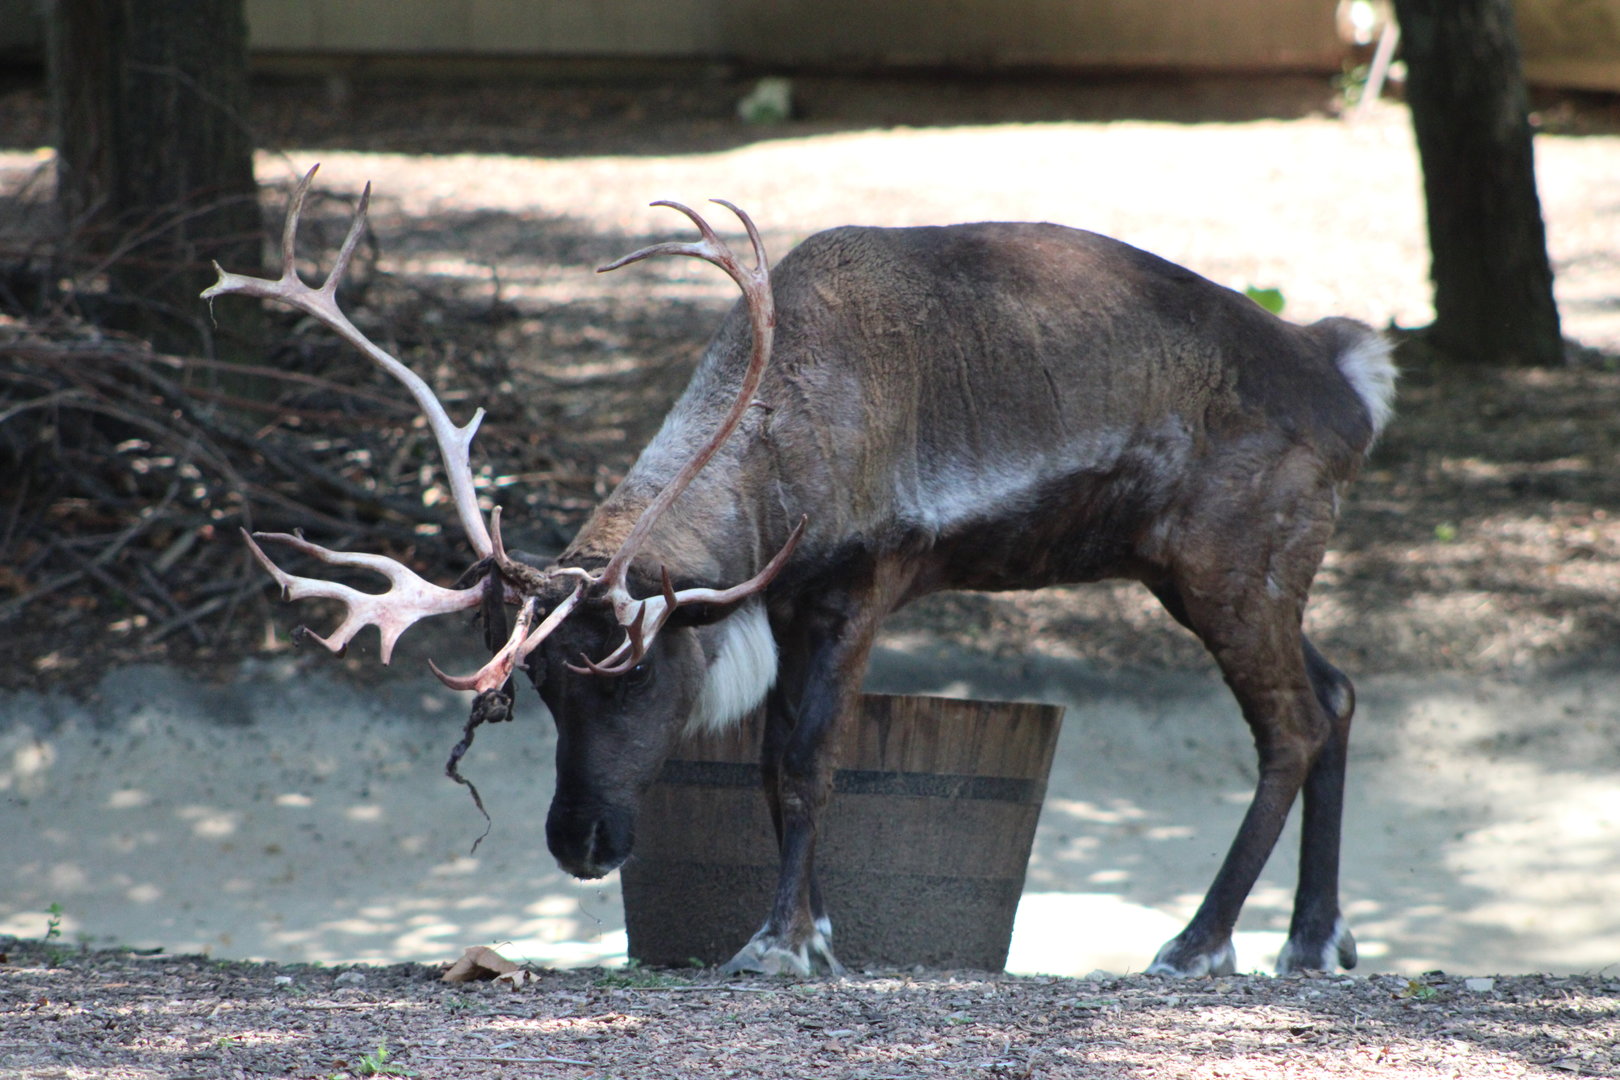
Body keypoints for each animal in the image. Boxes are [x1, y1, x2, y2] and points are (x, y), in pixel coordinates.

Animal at [205, 165, 1395, 978]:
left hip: (1232, 558)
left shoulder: (861, 584)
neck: (784, 452)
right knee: (1338, 691)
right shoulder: (774, 603)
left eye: (636, 672)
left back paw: (1199, 943)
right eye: (535, 681)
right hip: (1218, 568)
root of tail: (1351, 379)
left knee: (1291, 722)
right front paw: (816, 929)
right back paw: (1315, 939)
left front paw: (780, 942)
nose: (581, 842)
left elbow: (806, 762)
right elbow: (769, 761)